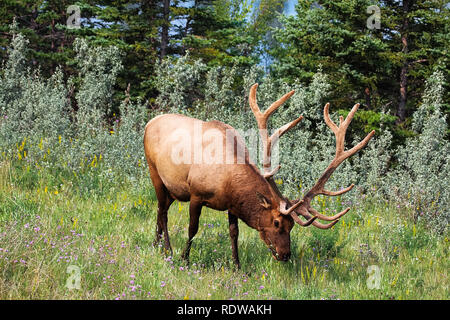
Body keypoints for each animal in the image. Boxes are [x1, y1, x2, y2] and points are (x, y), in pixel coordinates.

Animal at [143, 83, 372, 268]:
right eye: (277, 223)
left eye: (291, 226)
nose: (285, 255)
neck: (227, 182)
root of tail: (149, 122)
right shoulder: (196, 194)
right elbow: (192, 228)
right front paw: (185, 259)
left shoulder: (231, 205)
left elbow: (234, 233)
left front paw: (237, 266)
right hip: (155, 173)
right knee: (162, 211)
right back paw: (167, 250)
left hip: (173, 189)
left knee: (161, 209)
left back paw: (155, 244)